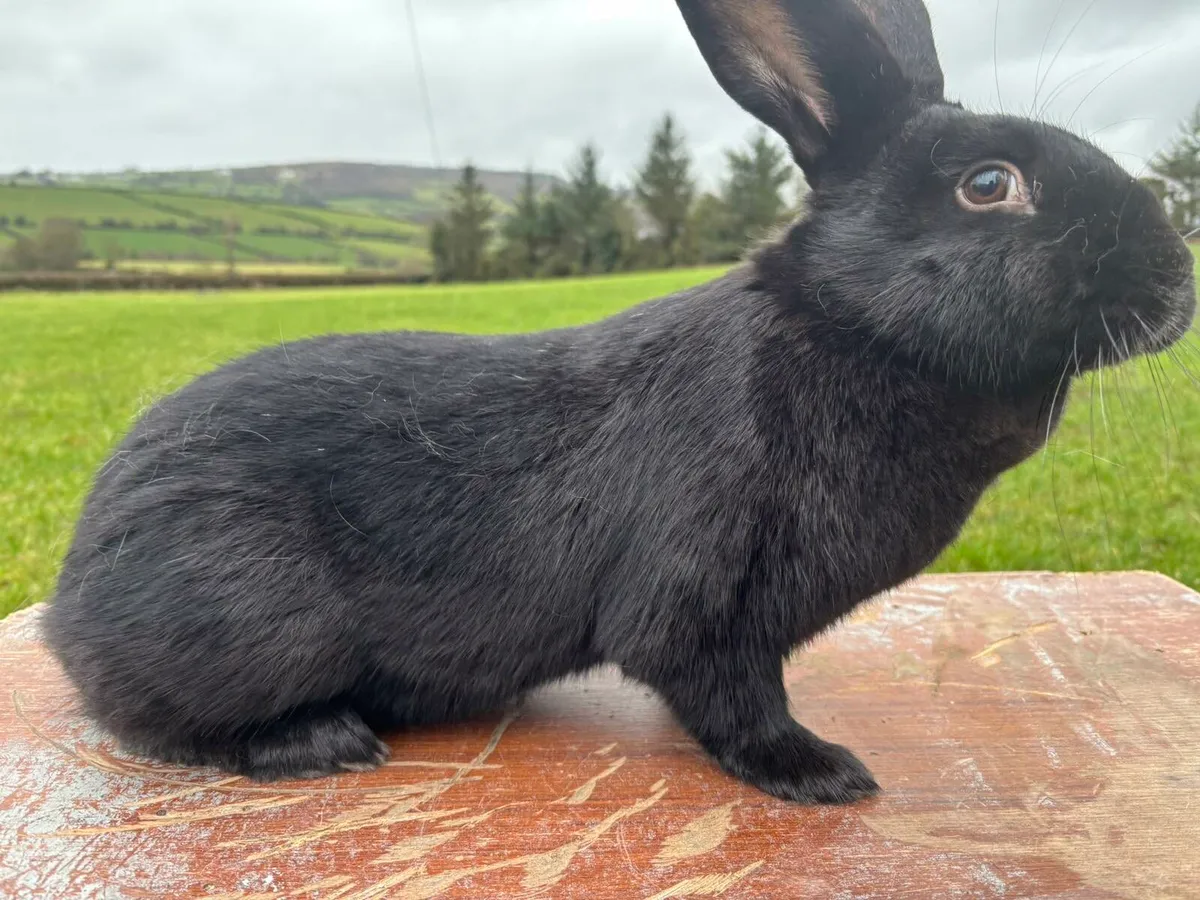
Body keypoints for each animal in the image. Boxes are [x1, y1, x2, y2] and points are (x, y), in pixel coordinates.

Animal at [41, 0, 1196, 806]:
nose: (1177, 284)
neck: (848, 331)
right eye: (989, 185)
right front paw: (821, 773)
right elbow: (729, 695)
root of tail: (74, 597)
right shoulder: (703, 593)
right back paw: (320, 741)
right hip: (246, 615)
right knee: (156, 720)